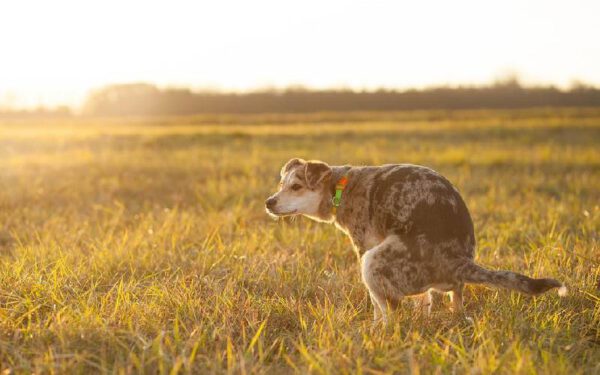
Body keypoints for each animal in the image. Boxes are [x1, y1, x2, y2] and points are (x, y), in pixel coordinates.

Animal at [266, 159, 568, 324]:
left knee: (392, 313)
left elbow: (377, 307)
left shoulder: (364, 246)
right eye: (281, 185)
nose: (269, 202)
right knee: (455, 301)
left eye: (296, 187)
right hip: (448, 285)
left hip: (373, 261)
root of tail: (457, 260)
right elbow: (425, 302)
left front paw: (374, 328)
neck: (339, 187)